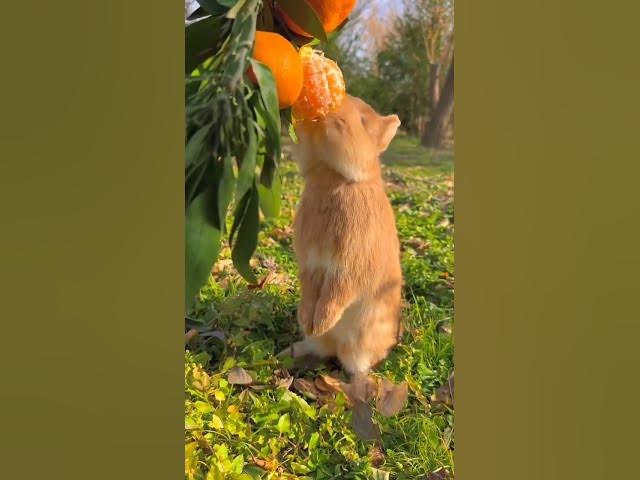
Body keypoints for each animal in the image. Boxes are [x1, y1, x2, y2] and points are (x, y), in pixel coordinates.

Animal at [286, 95, 403, 377]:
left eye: (362, 120)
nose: (330, 111)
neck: (334, 180)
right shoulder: (311, 264)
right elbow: (310, 289)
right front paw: (308, 320)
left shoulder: (349, 266)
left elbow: (337, 292)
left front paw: (321, 322)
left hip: (359, 343)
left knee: (355, 364)